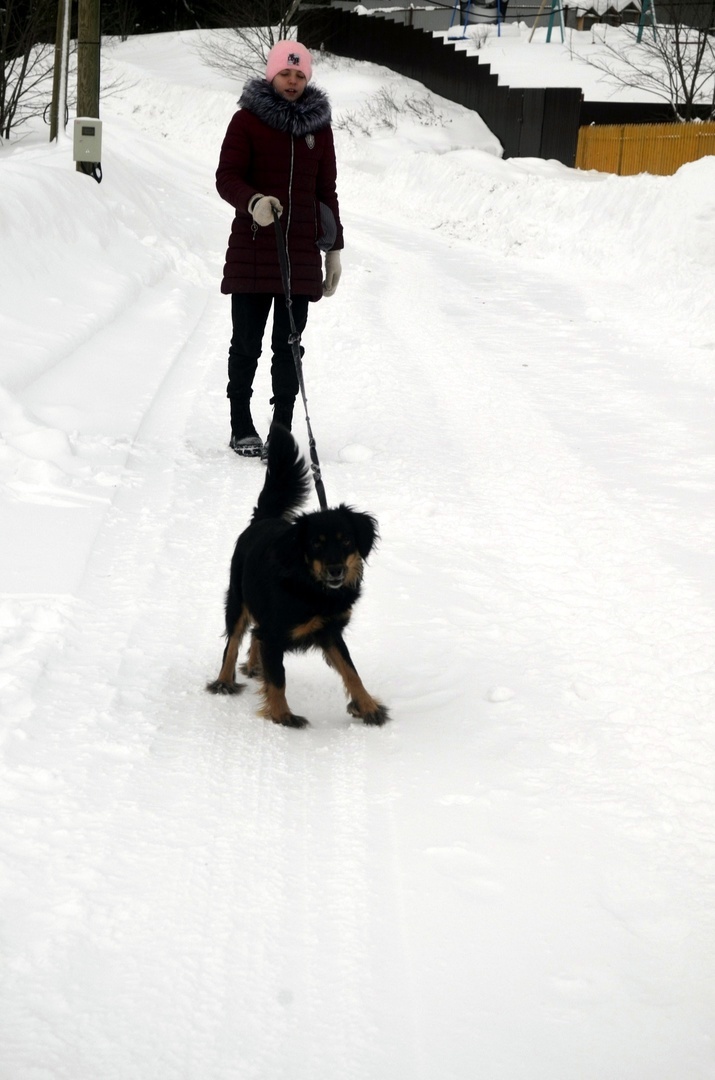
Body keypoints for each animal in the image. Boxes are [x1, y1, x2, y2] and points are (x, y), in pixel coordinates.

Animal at [206, 421, 393, 725]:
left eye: (346, 541)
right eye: (315, 543)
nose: (335, 570)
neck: (311, 586)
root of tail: (264, 518)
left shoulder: (329, 629)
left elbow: (351, 671)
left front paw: (368, 707)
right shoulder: (274, 632)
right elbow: (278, 678)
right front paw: (282, 715)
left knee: (253, 635)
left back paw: (253, 665)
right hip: (237, 597)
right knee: (233, 641)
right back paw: (223, 682)